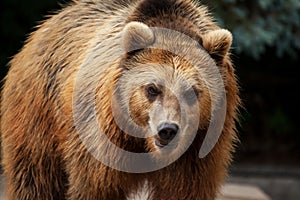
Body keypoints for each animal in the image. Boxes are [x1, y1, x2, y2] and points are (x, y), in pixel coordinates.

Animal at [0, 0, 239, 200]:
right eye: (152, 89)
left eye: (191, 92)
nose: (167, 129)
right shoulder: (104, 137)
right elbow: (96, 187)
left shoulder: (198, 148)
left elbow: (185, 190)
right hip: (39, 112)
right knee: (35, 177)